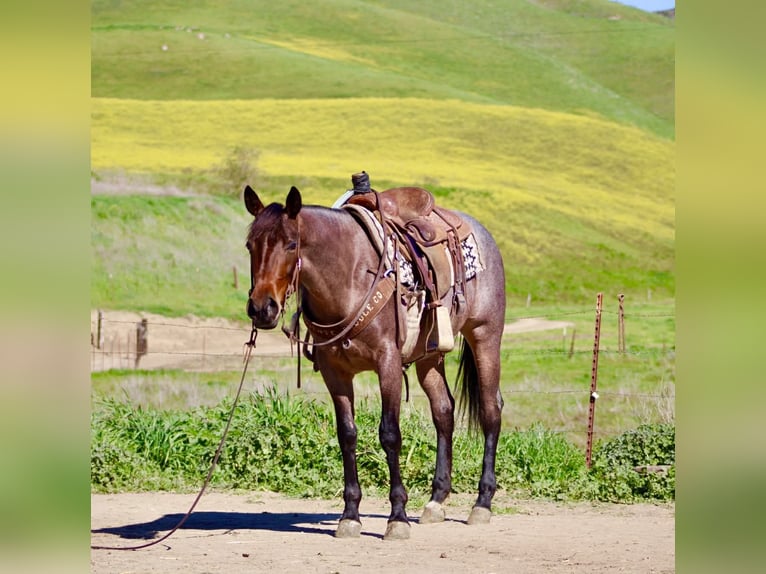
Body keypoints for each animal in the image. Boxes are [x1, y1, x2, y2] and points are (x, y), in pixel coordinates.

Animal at [243, 184, 506, 540]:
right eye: (250, 245)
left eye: (291, 244)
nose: (261, 308)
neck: (349, 278)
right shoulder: (335, 373)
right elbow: (347, 434)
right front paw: (350, 515)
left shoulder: (388, 364)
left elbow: (390, 434)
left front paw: (397, 516)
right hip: (430, 355)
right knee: (444, 411)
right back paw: (436, 500)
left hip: (485, 336)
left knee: (491, 409)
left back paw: (482, 503)